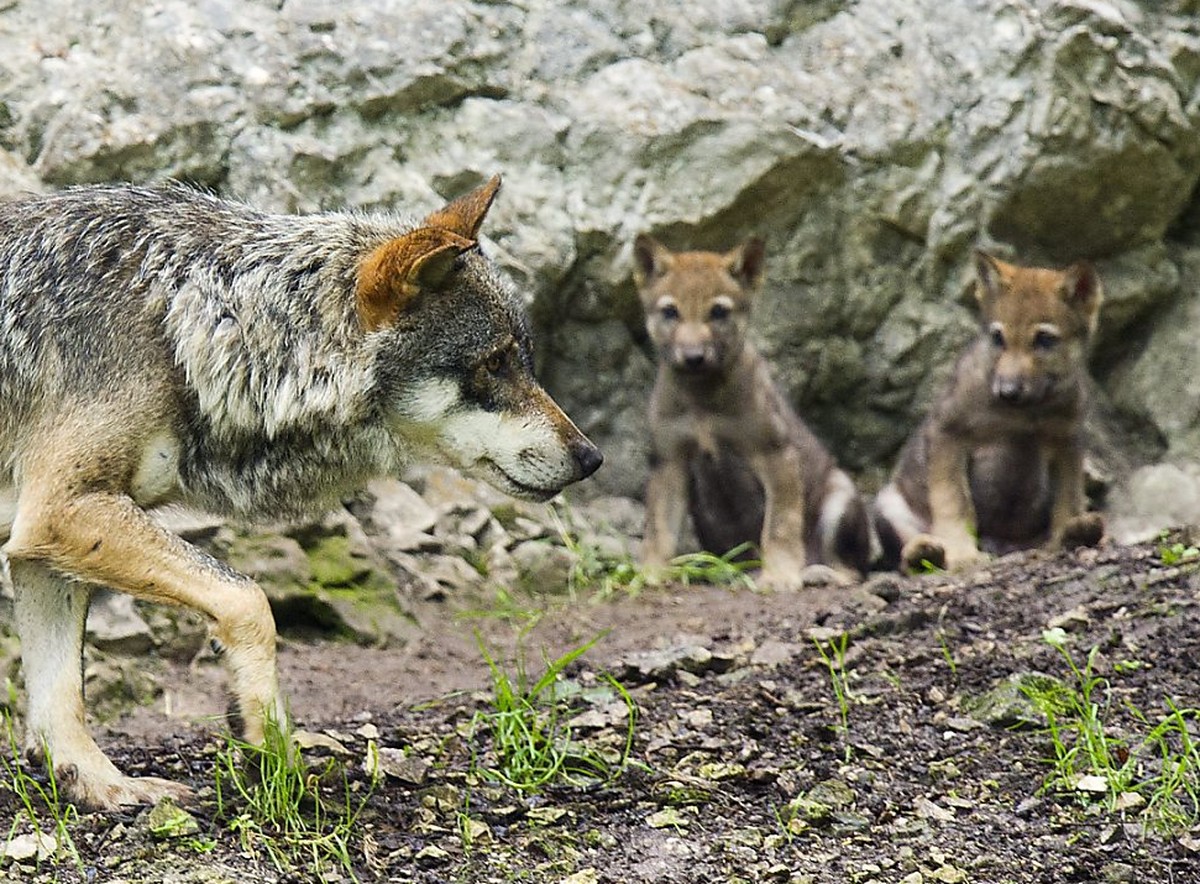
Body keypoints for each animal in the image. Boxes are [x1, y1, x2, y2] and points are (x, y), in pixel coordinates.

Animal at [0, 176, 602, 809]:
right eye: (494, 364)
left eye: (522, 361)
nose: (592, 458)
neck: (188, 326)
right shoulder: (62, 510)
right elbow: (249, 600)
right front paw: (270, 745)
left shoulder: (39, 544)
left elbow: (60, 700)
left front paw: (103, 787)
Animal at [633, 234, 872, 587]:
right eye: (670, 311)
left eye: (718, 311)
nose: (693, 357)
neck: (702, 401)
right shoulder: (669, 461)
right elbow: (659, 528)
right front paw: (651, 573)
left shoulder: (775, 454)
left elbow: (780, 526)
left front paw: (781, 576)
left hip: (839, 499)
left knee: (853, 570)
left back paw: (817, 572)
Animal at [873, 250, 1105, 573]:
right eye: (998, 338)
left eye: (1044, 339)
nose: (1008, 391)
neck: (1023, 415)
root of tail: (1002, 545)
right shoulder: (948, 437)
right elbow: (955, 504)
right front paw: (962, 553)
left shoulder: (1068, 445)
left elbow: (1067, 501)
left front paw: (1068, 530)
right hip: (889, 504)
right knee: (907, 558)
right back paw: (925, 552)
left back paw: (1076, 534)